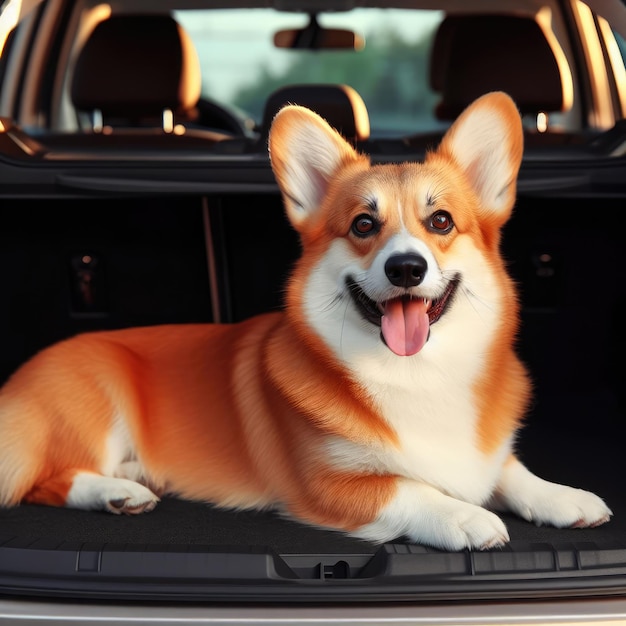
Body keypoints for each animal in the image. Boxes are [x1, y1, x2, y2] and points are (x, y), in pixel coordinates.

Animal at [0, 91, 608, 544]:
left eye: (440, 221)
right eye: (363, 225)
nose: (406, 268)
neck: (417, 374)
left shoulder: (485, 457)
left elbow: (512, 471)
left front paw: (564, 497)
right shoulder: (327, 483)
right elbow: (412, 489)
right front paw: (467, 516)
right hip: (93, 399)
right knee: (44, 479)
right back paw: (116, 492)